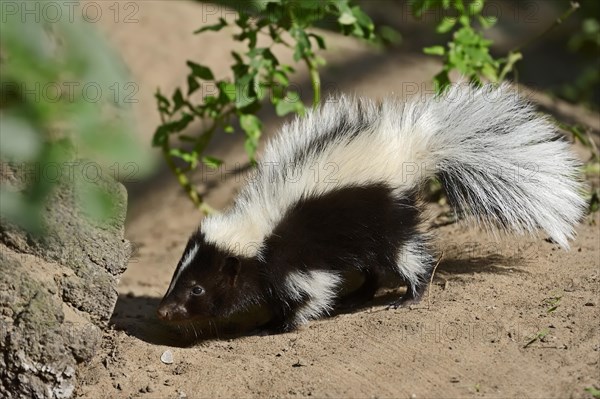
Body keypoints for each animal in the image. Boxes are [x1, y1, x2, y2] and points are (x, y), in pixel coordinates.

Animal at [157, 83, 584, 332]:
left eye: (197, 288)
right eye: (177, 276)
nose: (164, 310)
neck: (256, 229)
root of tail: (409, 152)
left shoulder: (290, 258)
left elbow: (312, 291)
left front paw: (281, 324)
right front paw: (275, 317)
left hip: (384, 216)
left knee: (407, 255)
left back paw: (408, 295)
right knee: (373, 267)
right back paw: (360, 295)